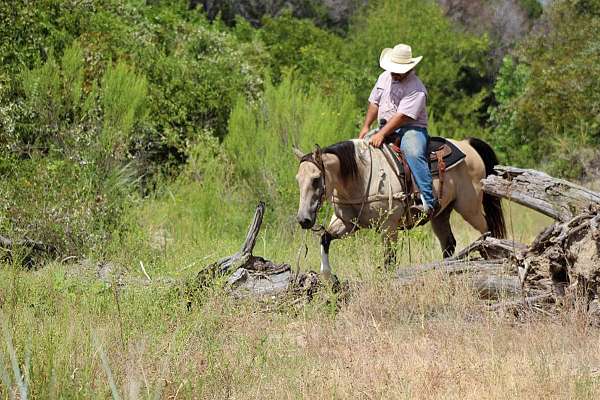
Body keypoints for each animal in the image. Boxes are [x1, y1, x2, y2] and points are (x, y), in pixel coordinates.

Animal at [296, 138, 506, 278]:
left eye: (316, 179)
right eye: (298, 180)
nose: (303, 219)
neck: (361, 176)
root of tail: (466, 144)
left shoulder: (388, 227)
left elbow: (389, 260)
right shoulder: (347, 223)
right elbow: (325, 237)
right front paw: (327, 275)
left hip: (469, 208)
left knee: (488, 231)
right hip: (440, 214)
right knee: (449, 243)